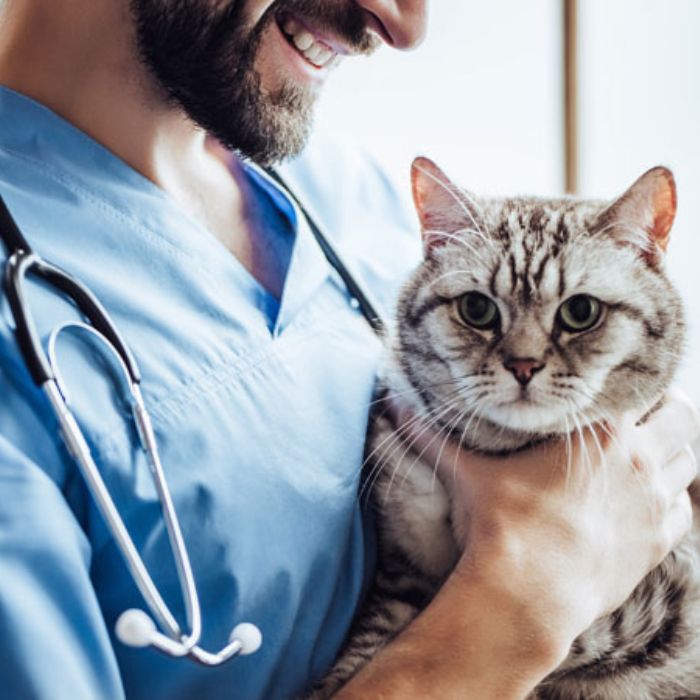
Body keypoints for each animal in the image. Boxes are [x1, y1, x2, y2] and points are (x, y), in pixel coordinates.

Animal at [308, 159, 700, 700]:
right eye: (477, 309)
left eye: (580, 312)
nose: (523, 364)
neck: (500, 450)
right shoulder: (401, 571)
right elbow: (371, 644)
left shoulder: (656, 609)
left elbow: (572, 649)